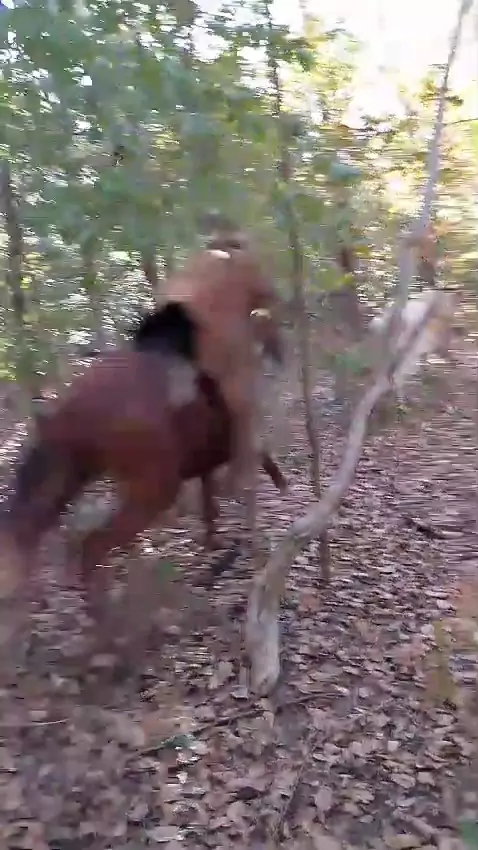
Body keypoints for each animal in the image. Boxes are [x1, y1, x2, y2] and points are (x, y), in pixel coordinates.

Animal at [0, 301, 287, 667]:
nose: (279, 354)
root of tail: (71, 408)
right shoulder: (236, 444)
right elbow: (257, 462)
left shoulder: (206, 460)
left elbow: (210, 502)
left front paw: (213, 545)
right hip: (153, 488)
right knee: (91, 544)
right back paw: (110, 636)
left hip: (68, 475)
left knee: (31, 535)